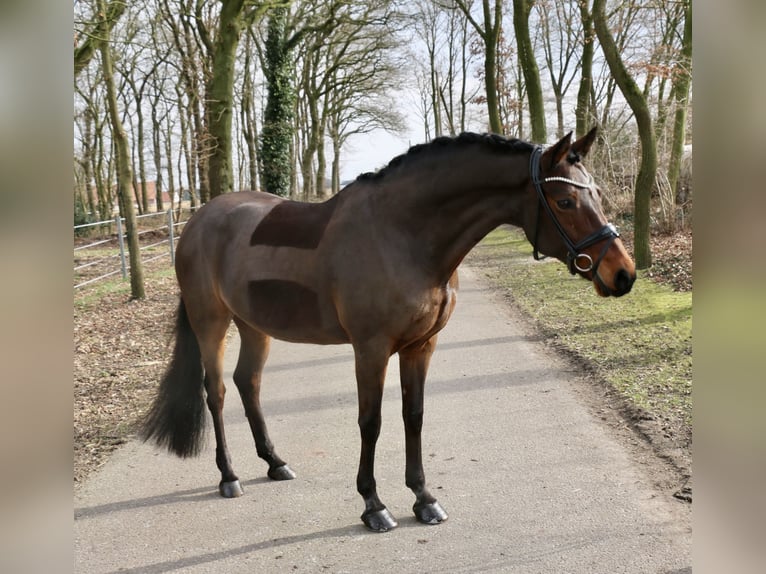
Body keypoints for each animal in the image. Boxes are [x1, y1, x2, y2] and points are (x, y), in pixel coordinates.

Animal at [142, 128, 636, 532]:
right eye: (565, 201)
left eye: (596, 193)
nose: (623, 274)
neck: (403, 235)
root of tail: (199, 219)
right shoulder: (371, 349)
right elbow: (371, 421)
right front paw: (373, 505)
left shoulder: (421, 346)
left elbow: (412, 416)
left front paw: (424, 499)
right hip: (211, 321)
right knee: (217, 392)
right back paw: (229, 476)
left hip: (254, 324)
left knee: (250, 383)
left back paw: (275, 462)